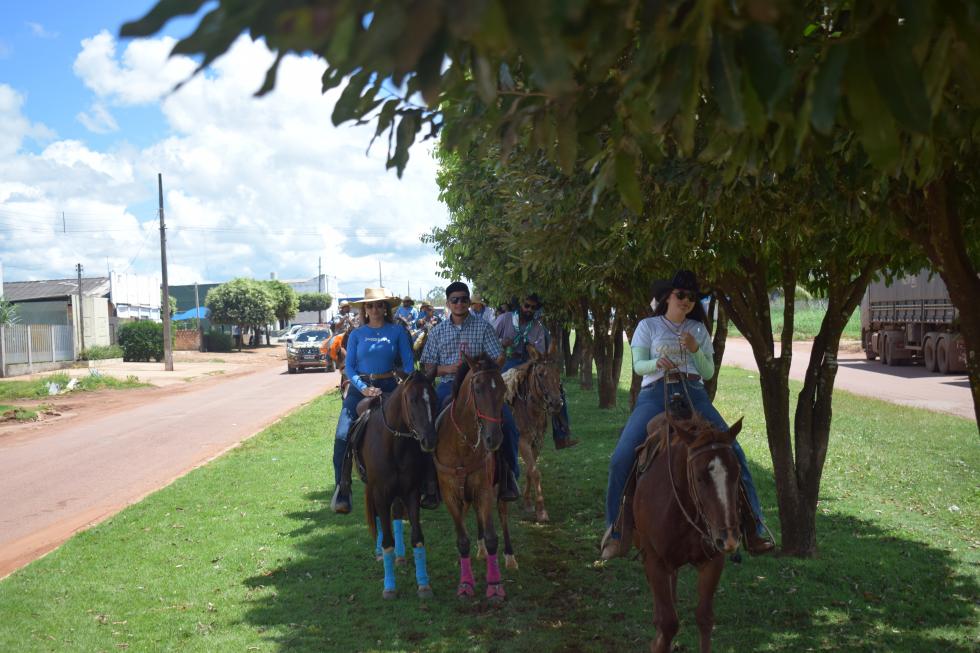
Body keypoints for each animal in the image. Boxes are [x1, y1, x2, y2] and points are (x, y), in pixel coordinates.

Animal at [357, 371, 440, 599]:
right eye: (412, 400)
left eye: (434, 398)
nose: (430, 440)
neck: (394, 444)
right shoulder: (380, 492)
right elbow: (387, 541)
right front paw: (389, 587)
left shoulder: (411, 492)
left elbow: (417, 537)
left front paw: (424, 584)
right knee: (379, 517)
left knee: (396, 514)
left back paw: (401, 557)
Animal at [432, 353, 511, 602]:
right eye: (477, 389)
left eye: (503, 388)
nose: (493, 439)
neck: (462, 443)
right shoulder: (450, 496)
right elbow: (462, 540)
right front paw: (465, 583)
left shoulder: (484, 489)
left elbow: (492, 537)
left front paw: (494, 585)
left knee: (503, 515)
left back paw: (510, 556)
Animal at [504, 342, 564, 522]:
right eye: (540, 374)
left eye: (558, 371)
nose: (556, 403)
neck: (530, 409)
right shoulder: (522, 442)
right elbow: (535, 472)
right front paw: (541, 510)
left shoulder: (537, 442)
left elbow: (530, 471)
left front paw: (528, 502)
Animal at [631, 411, 744, 653]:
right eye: (700, 477)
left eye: (737, 472)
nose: (728, 539)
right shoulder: (655, 560)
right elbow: (668, 624)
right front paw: (657, 641)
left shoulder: (713, 561)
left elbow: (704, 618)